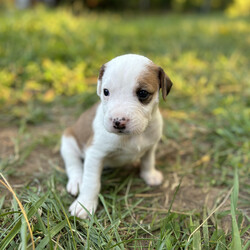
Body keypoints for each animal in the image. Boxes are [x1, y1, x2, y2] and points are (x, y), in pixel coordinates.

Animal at [61, 53, 173, 219]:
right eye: (106, 91)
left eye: (143, 93)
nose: (118, 122)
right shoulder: (95, 154)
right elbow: (91, 182)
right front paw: (85, 205)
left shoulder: (151, 145)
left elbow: (148, 160)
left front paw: (149, 175)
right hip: (68, 140)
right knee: (73, 163)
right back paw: (76, 181)